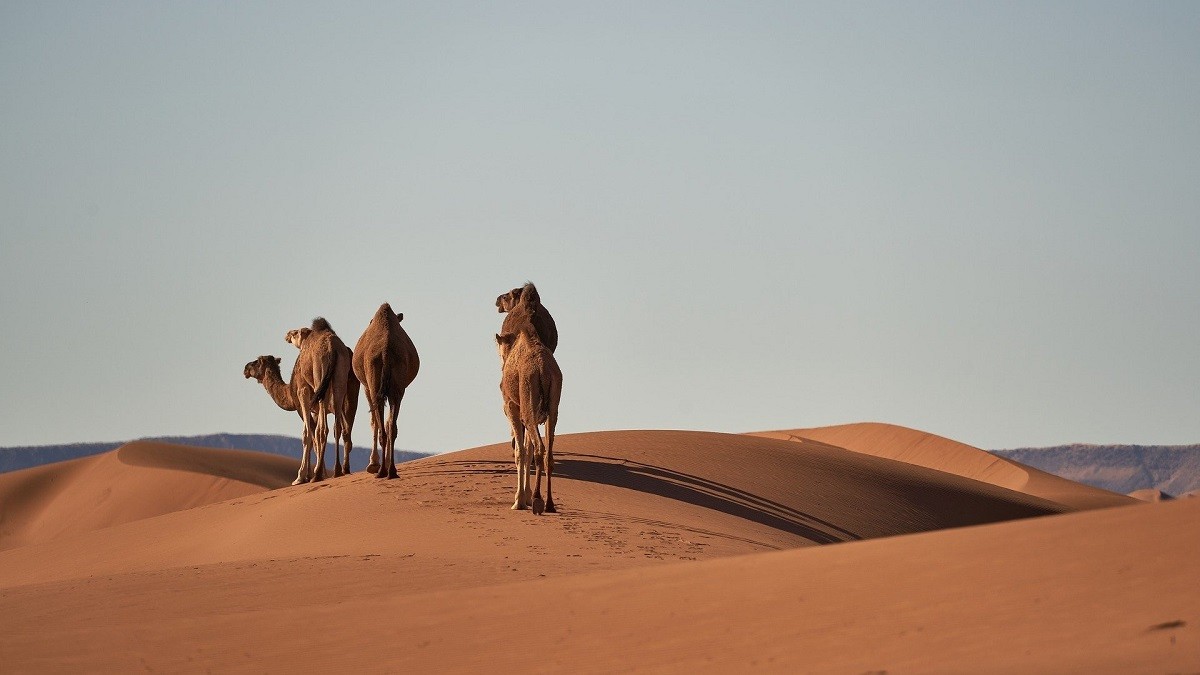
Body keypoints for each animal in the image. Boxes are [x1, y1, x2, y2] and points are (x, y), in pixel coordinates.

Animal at [286, 317, 360, 475]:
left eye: (295, 333)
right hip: (340, 379)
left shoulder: (303, 389)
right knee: (338, 426)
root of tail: (333, 348)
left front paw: (301, 476)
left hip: (320, 375)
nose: (287, 334)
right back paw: (338, 469)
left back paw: (319, 472)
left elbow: (307, 432)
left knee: (322, 428)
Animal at [350, 302, 420, 475]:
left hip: (374, 382)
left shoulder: (366, 387)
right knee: (391, 426)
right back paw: (391, 470)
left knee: (381, 424)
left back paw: (380, 470)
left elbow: (374, 422)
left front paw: (373, 463)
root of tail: (386, 351)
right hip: (397, 387)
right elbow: (387, 422)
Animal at [496, 324, 561, 511]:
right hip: (553, 408)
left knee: (539, 448)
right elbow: (527, 450)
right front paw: (525, 497)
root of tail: (543, 370)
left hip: (527, 401)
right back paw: (549, 504)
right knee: (548, 454)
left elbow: (521, 452)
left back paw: (538, 500)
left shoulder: (512, 407)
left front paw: (519, 501)